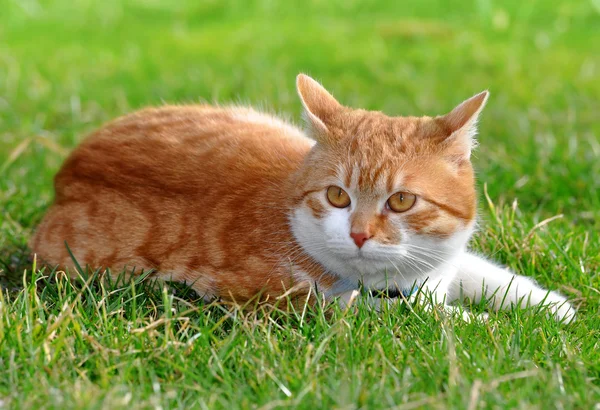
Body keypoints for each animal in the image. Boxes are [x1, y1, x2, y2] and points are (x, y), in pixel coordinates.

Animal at [29, 75, 576, 322]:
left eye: (401, 202)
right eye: (336, 196)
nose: (359, 234)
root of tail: (66, 172)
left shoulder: (443, 264)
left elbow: (480, 270)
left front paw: (550, 306)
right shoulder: (284, 301)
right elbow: (429, 317)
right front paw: (483, 321)